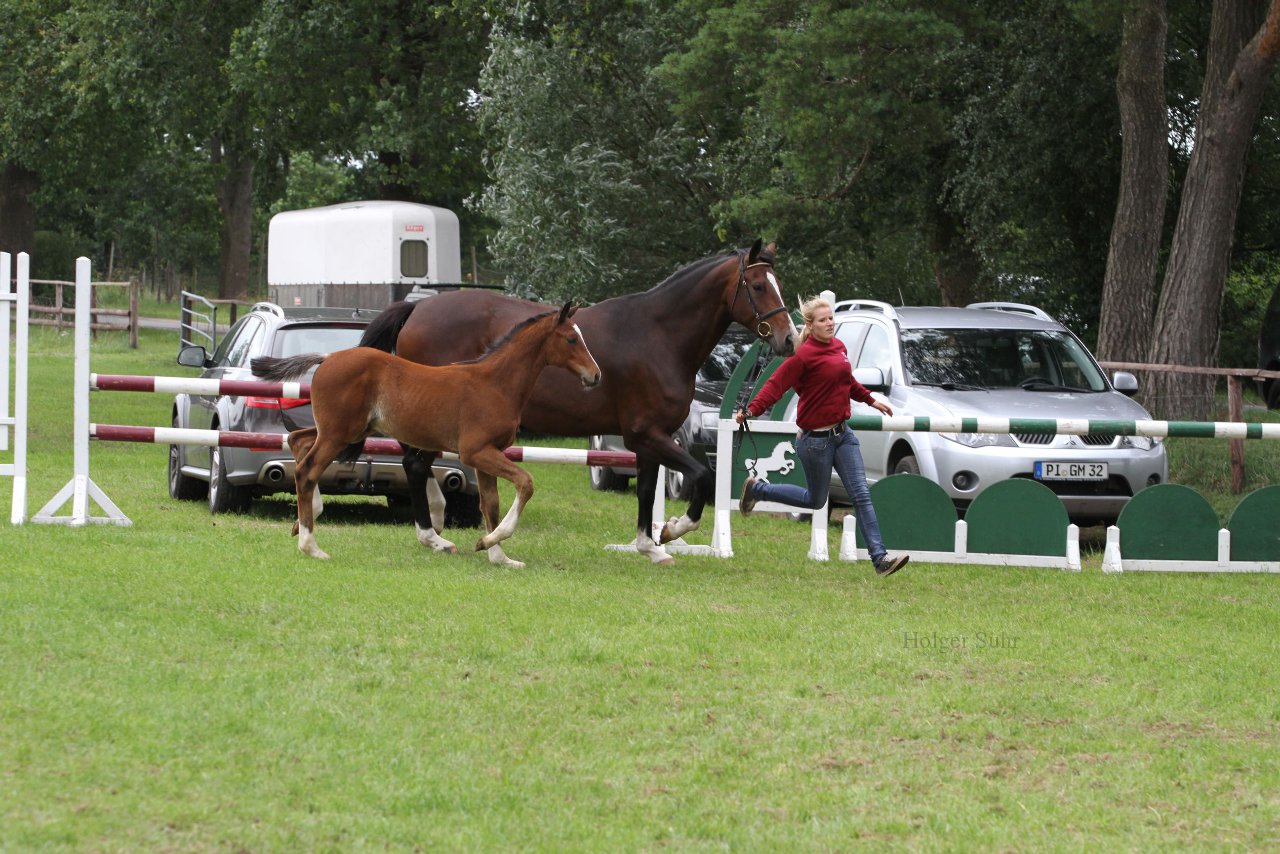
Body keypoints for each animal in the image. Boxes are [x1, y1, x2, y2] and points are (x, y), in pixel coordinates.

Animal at [257, 303, 606, 563]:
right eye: (571, 339)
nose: (596, 375)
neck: (495, 383)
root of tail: (327, 357)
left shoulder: (487, 455)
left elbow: (490, 503)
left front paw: (498, 556)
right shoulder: (476, 452)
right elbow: (525, 482)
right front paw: (488, 542)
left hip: (343, 430)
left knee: (298, 441)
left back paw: (306, 521)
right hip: (339, 434)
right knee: (307, 469)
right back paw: (311, 546)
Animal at [360, 236, 793, 563]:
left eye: (778, 284)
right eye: (758, 286)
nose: (788, 339)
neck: (658, 335)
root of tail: (417, 307)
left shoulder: (649, 439)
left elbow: (646, 490)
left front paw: (649, 547)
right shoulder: (647, 435)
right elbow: (701, 476)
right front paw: (672, 530)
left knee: (417, 466)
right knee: (415, 465)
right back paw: (433, 535)